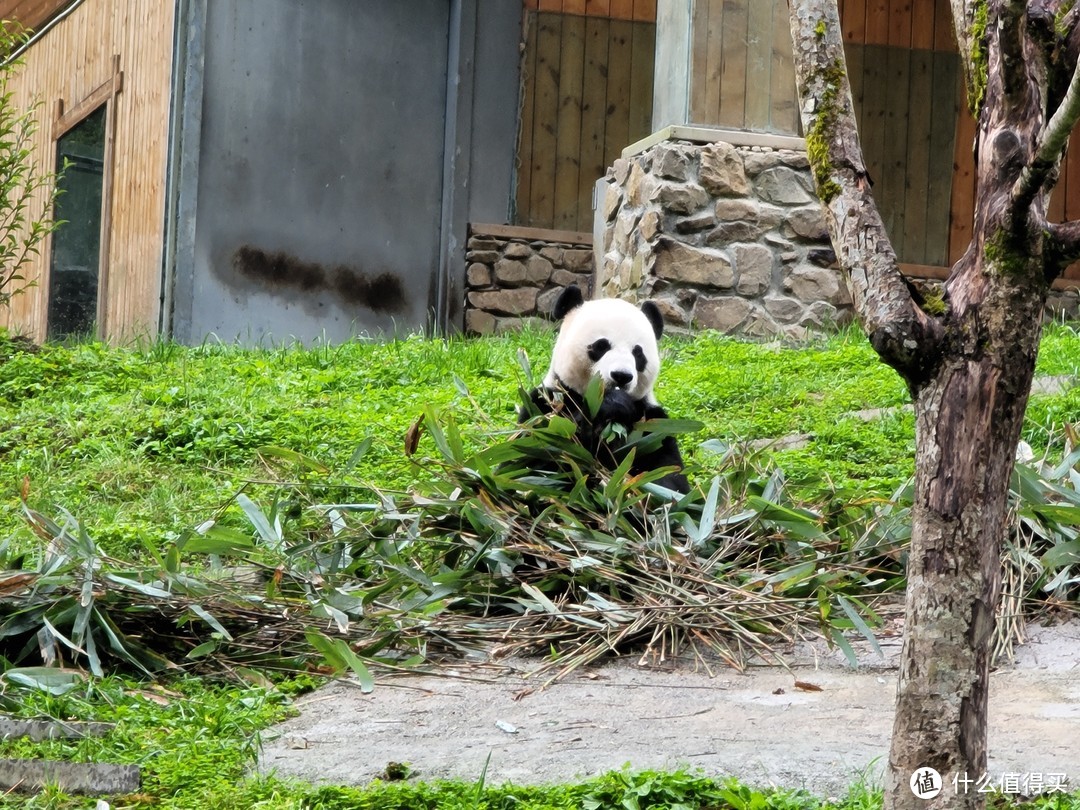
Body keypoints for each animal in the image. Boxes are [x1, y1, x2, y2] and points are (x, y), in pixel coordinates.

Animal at [518, 285, 686, 494]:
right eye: (601, 346)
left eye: (638, 353)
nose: (621, 376)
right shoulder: (545, 405)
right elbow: (535, 461)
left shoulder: (653, 423)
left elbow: (669, 478)